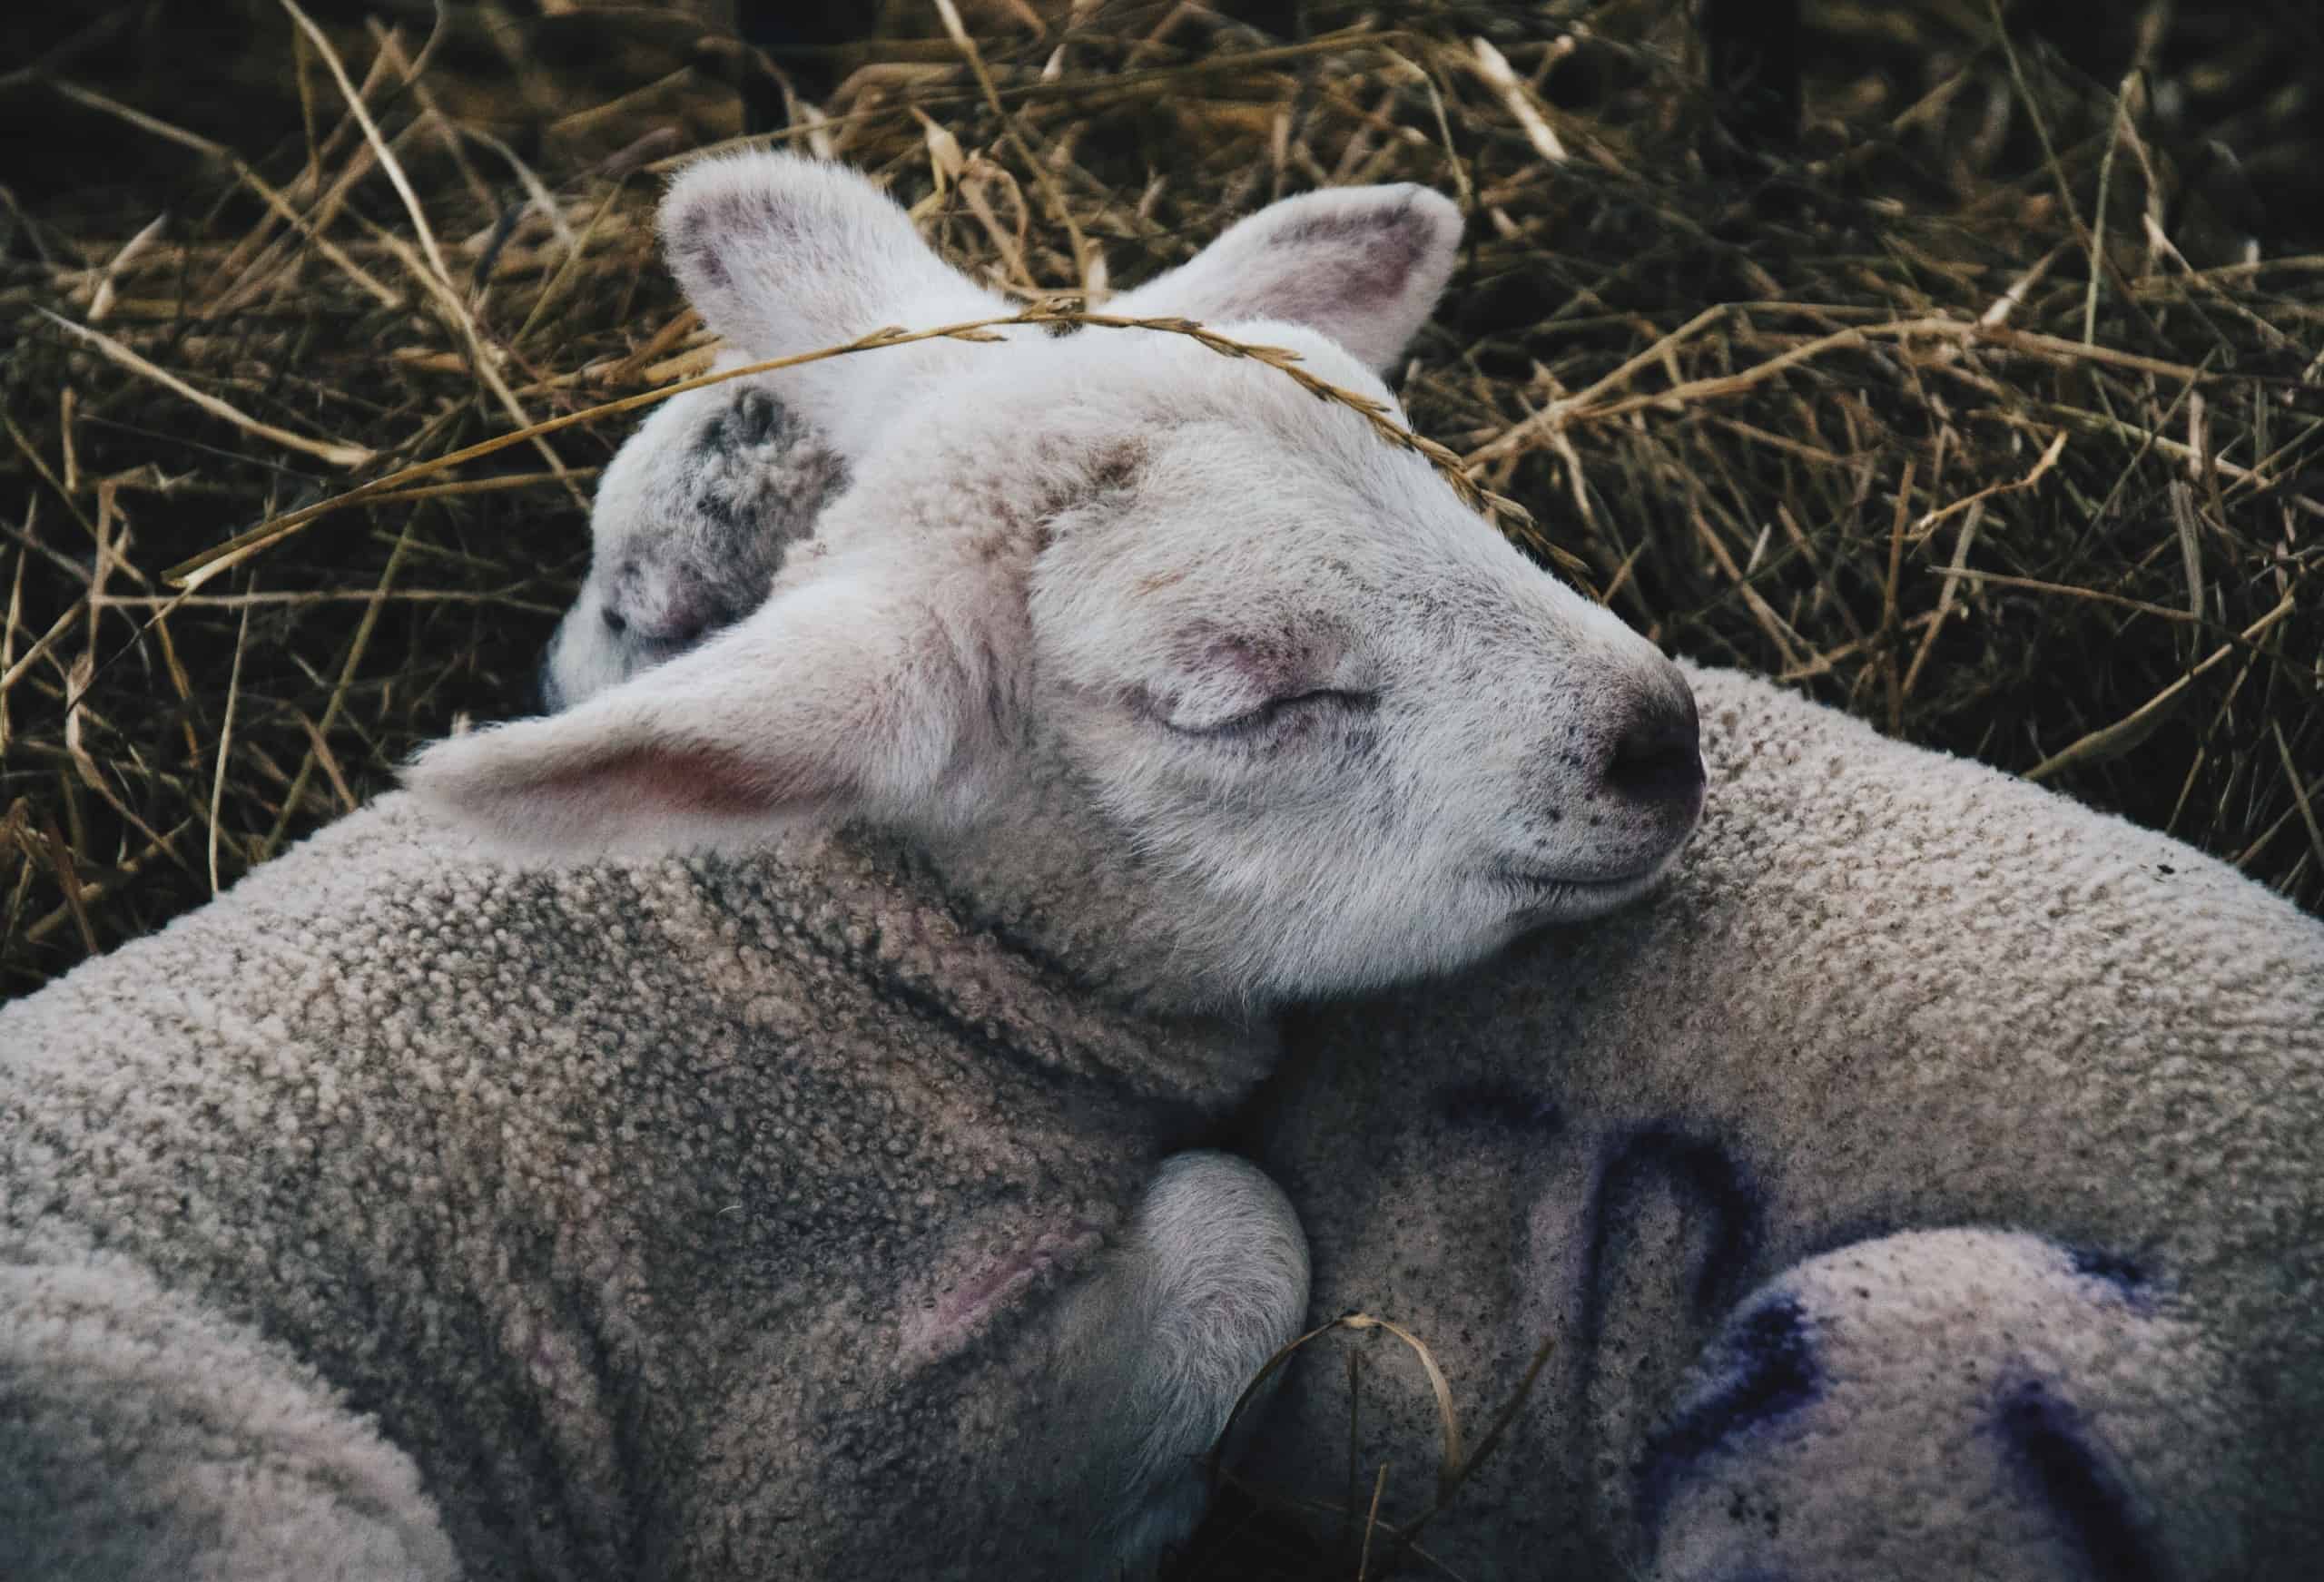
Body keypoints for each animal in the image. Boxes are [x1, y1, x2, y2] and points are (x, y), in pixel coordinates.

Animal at [0, 151, 1710, 1579]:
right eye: (1241, 695)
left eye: (1427, 466)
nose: (1663, 736)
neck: (824, 955)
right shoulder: (813, 1471)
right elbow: (1244, 1223)